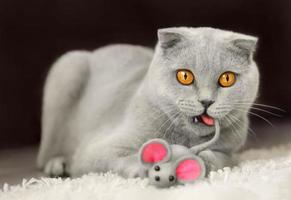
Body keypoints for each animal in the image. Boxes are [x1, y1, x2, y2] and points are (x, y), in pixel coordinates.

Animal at [37, 27, 260, 178]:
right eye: (185, 76)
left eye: (227, 78)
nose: (206, 101)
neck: (187, 138)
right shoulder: (95, 151)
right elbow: (121, 157)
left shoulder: (232, 151)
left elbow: (221, 158)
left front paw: (202, 160)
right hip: (67, 69)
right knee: (47, 152)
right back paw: (58, 164)